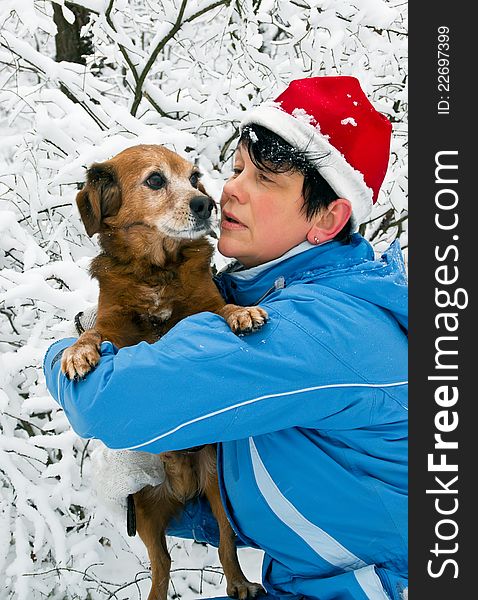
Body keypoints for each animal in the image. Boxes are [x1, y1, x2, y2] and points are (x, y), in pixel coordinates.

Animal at [59, 145, 266, 600]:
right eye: (155, 180)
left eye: (194, 178)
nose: (206, 204)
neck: (155, 269)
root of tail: (181, 486)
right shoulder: (112, 327)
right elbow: (92, 333)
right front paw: (76, 354)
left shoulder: (205, 306)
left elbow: (222, 309)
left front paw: (242, 313)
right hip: (145, 516)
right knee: (161, 566)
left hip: (218, 494)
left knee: (225, 546)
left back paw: (240, 582)